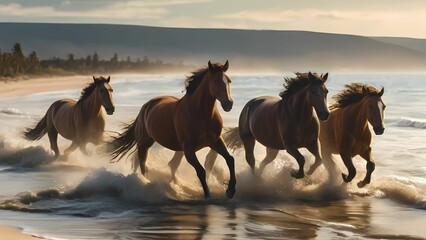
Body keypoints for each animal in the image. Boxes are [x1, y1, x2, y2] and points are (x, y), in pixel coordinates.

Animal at [109, 60, 236, 199]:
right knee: (144, 166)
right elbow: (201, 171)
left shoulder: (215, 141)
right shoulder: (189, 149)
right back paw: (147, 184)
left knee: (171, 165)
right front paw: (208, 195)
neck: (201, 114)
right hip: (144, 144)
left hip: (176, 149)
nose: (229, 104)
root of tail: (145, 106)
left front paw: (230, 191)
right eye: (215, 80)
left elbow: (230, 160)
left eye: (229, 81)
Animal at [200, 71, 330, 180]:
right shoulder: (289, 145)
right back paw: (256, 182)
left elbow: (319, 160)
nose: (325, 114)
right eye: (313, 91)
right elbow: (301, 159)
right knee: (251, 160)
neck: (299, 118)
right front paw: (295, 173)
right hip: (248, 139)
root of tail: (249, 104)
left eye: (326, 91)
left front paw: (309, 172)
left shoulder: (312, 143)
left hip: (272, 147)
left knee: (263, 162)